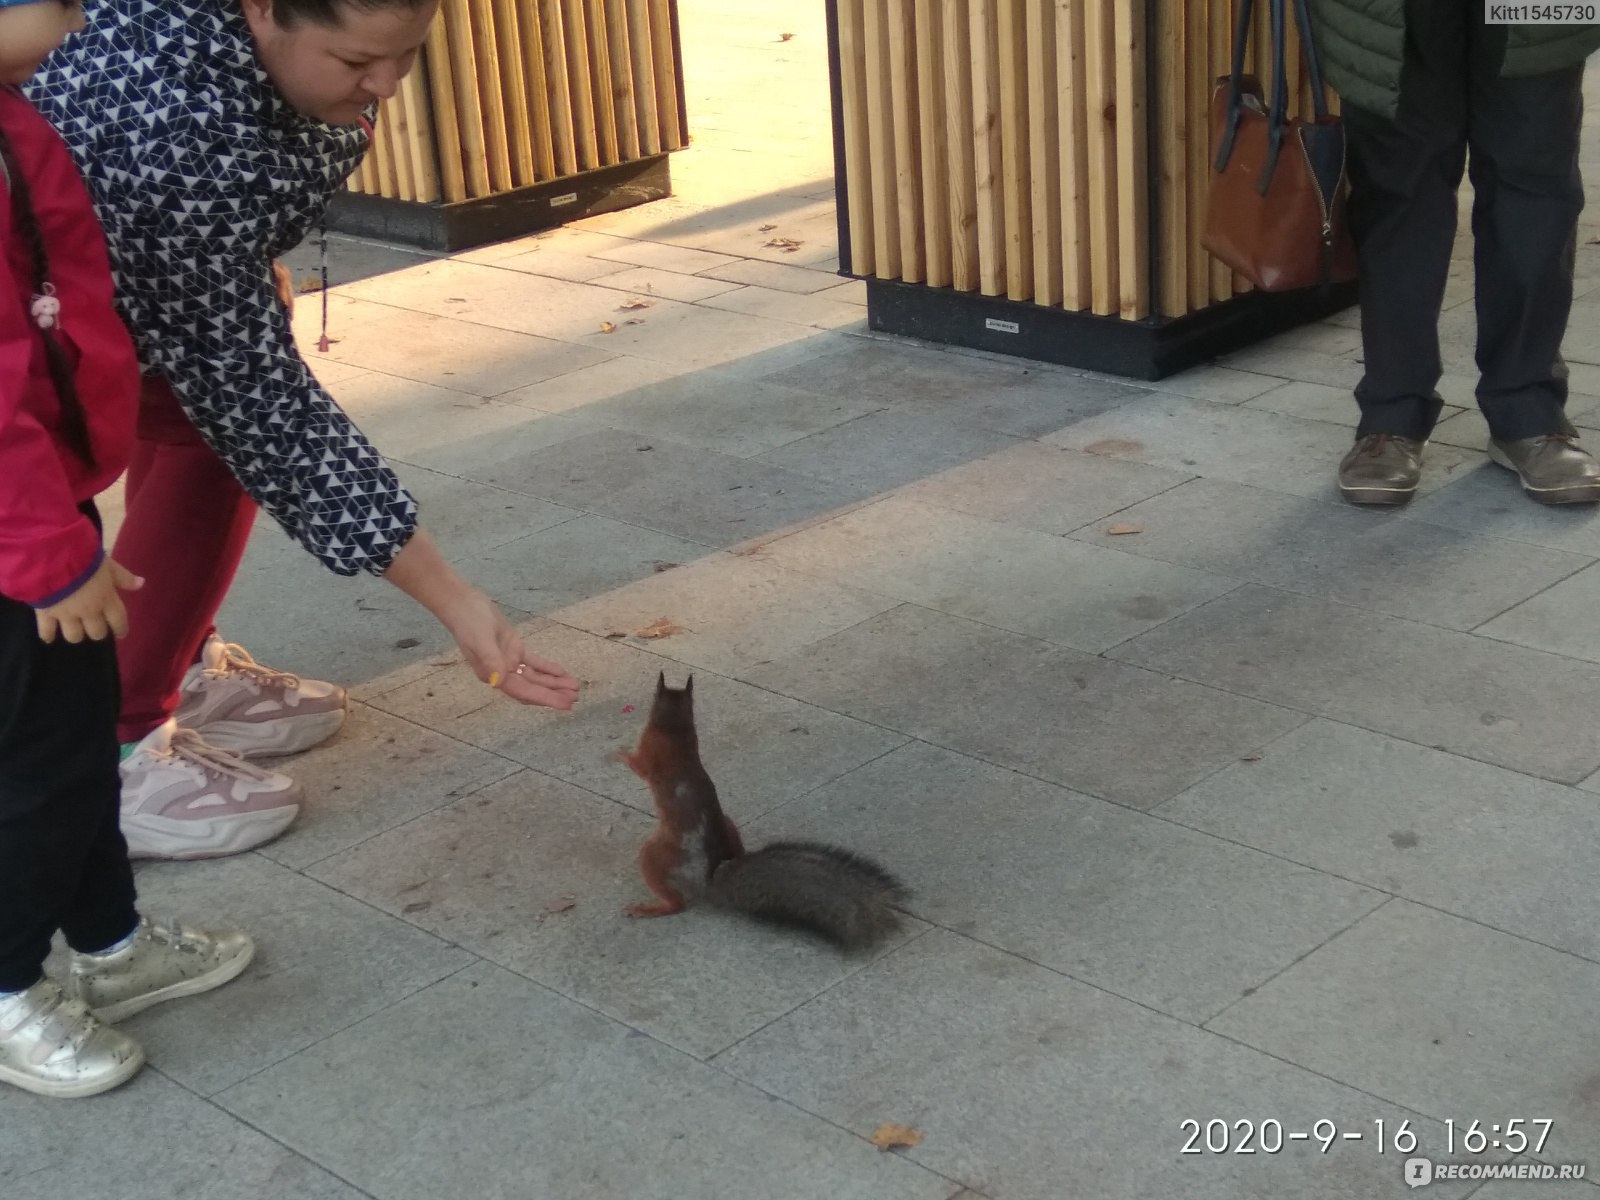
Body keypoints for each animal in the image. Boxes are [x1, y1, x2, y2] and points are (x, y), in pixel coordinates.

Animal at [614, 672, 915, 953]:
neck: (675, 729)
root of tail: (708, 880)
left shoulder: (650, 756)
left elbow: (638, 765)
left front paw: (617, 753)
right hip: (728, 824)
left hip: (655, 856)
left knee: (677, 903)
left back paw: (648, 909)